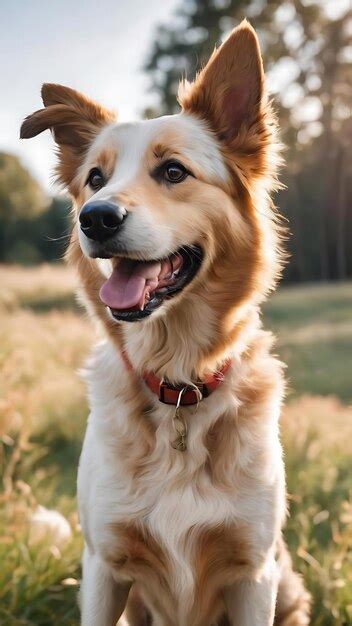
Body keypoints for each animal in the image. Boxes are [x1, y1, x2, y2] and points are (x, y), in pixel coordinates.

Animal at [20, 19, 310, 624]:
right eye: (95, 179)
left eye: (173, 171)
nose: (96, 218)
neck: (178, 384)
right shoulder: (104, 567)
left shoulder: (254, 573)